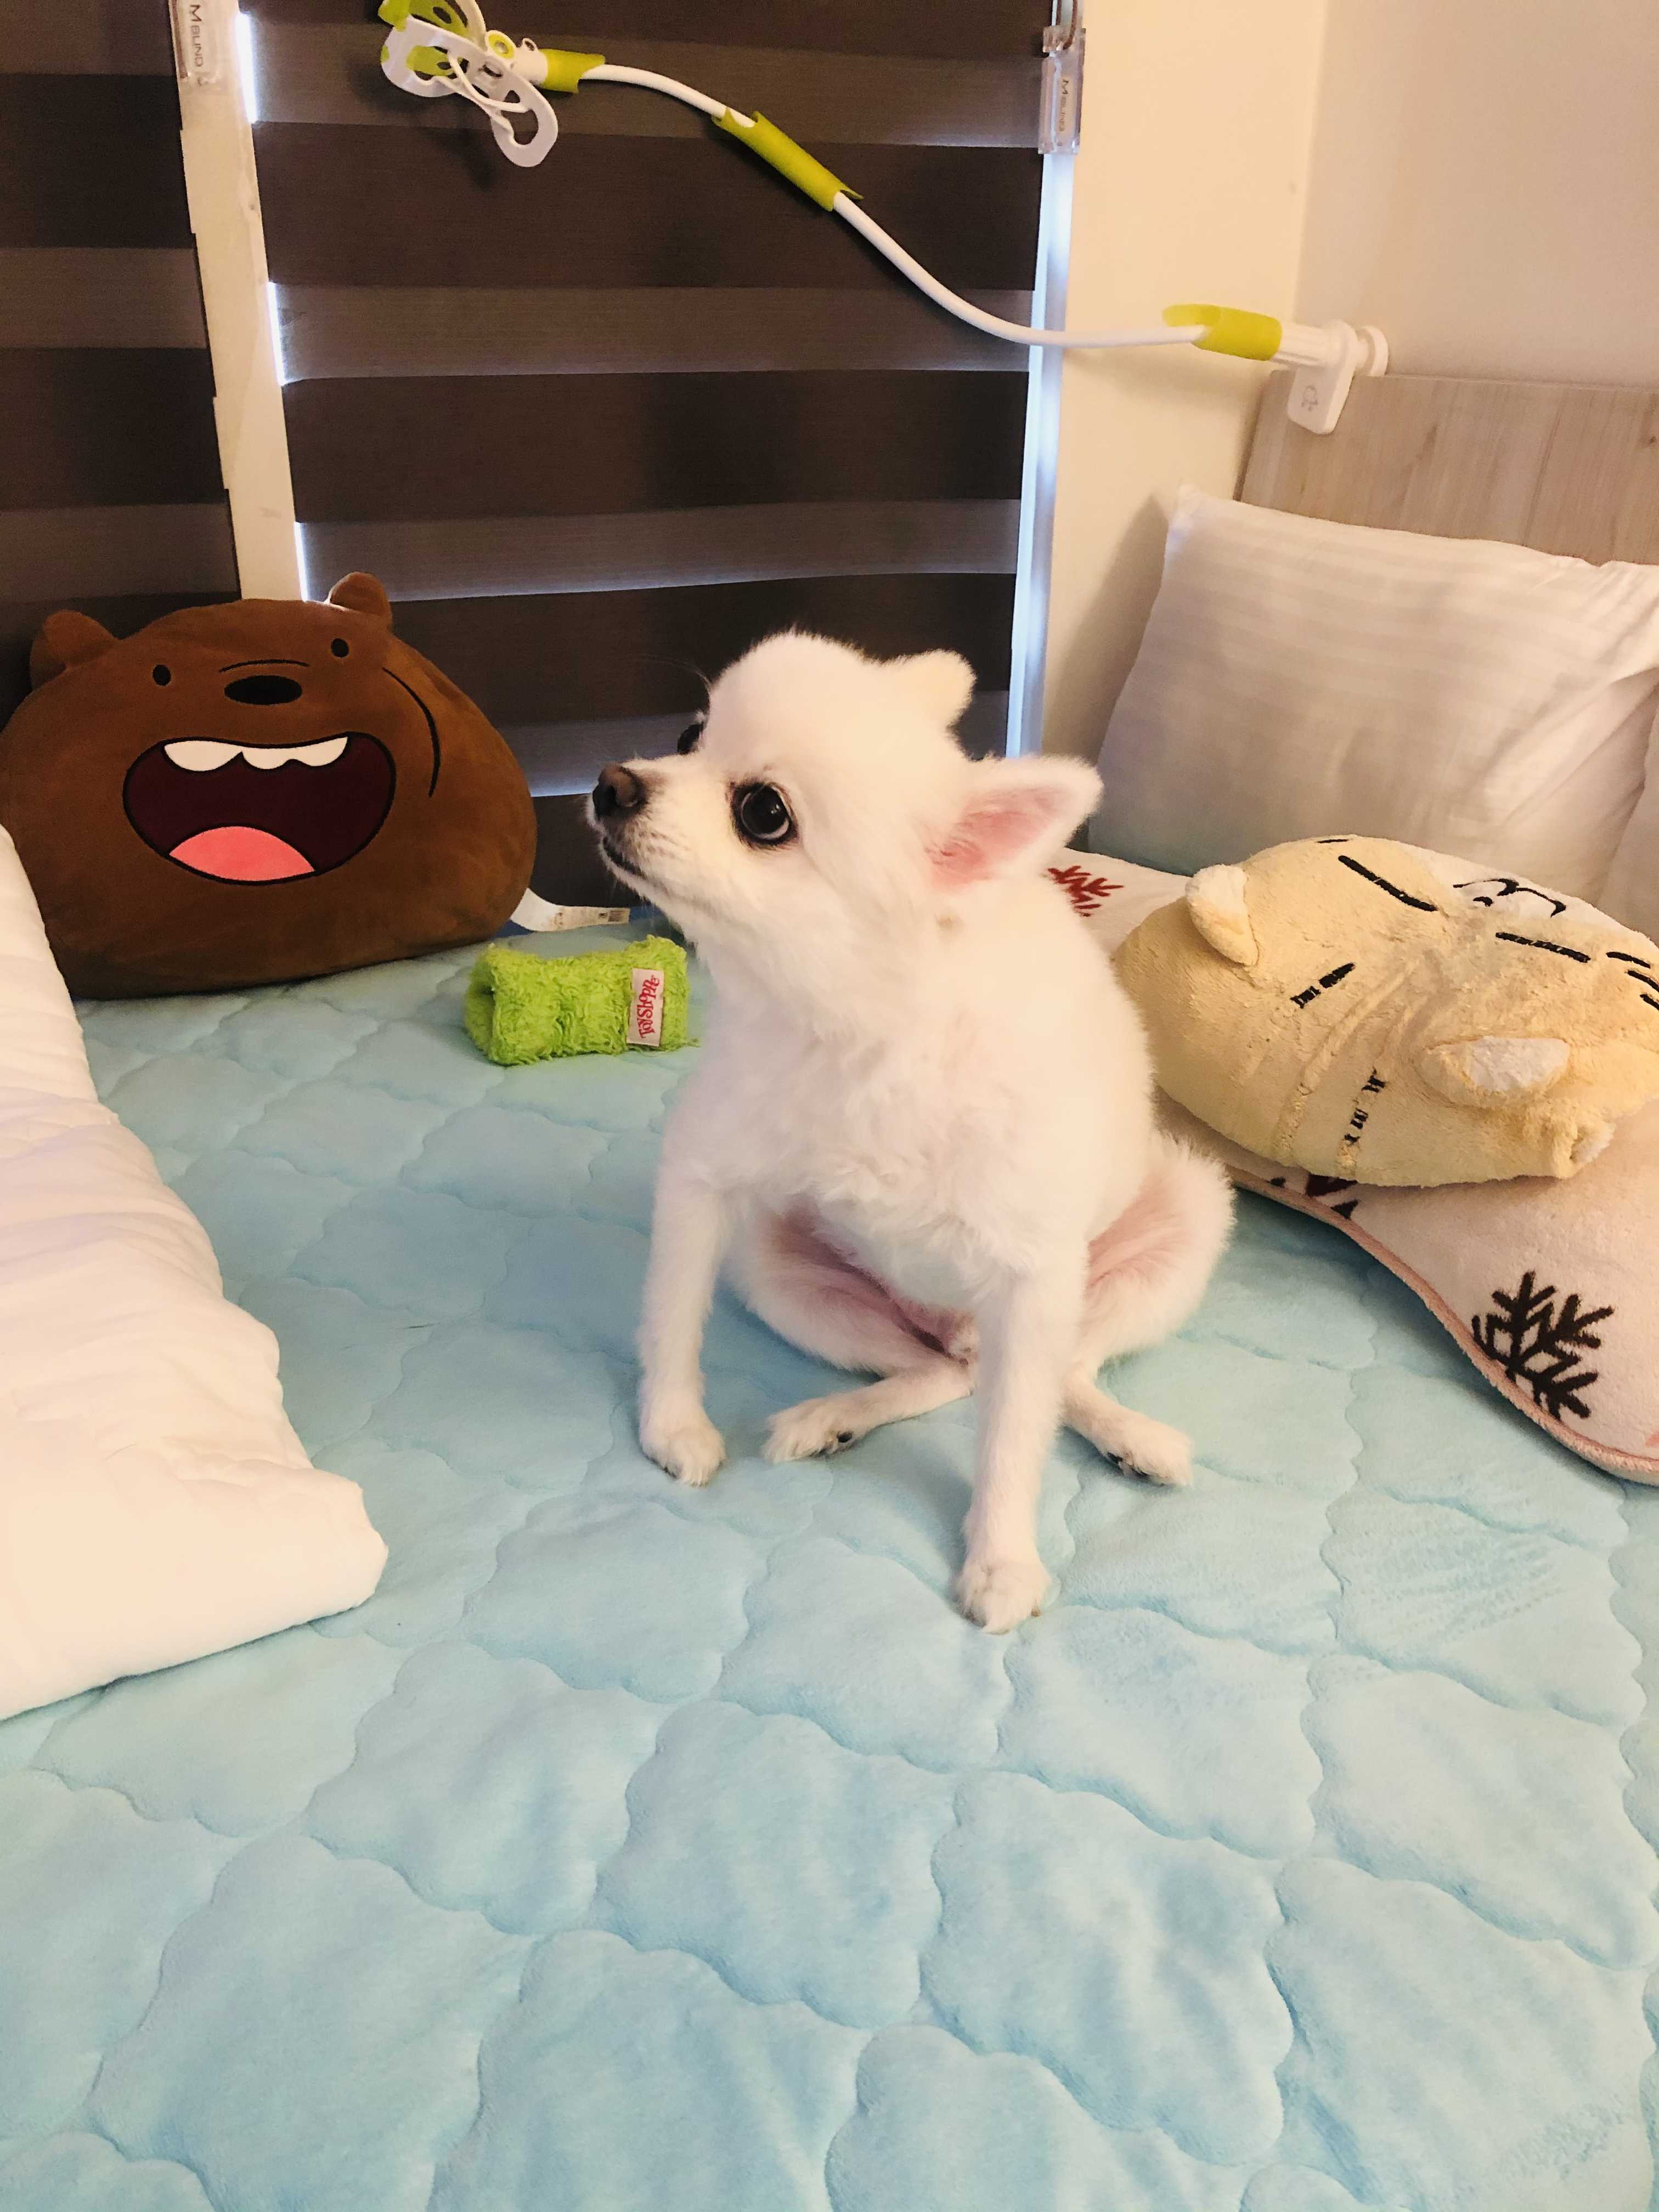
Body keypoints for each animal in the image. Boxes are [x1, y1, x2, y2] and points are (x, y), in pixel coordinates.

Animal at [590, 633, 1232, 1629]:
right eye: (689, 737)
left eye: (762, 813)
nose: (614, 783)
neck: (860, 1029)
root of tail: (957, 1328)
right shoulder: (701, 1177)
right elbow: (671, 1315)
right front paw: (672, 1425)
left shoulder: (1033, 1278)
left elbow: (1011, 1442)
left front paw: (1001, 1559)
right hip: (777, 1264)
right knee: (948, 1375)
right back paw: (829, 1419)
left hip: (1170, 1231)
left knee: (1060, 1378)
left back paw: (1131, 1437)